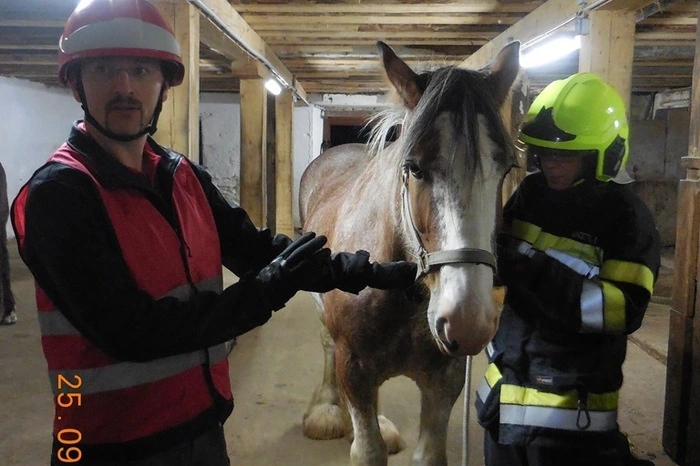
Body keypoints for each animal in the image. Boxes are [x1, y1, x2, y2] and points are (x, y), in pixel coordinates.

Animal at [298, 41, 520, 466]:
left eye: (505, 169)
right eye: (414, 168)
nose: (468, 321)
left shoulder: (444, 380)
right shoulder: (354, 368)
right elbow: (368, 449)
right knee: (324, 346)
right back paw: (329, 409)